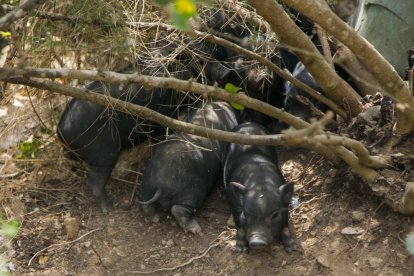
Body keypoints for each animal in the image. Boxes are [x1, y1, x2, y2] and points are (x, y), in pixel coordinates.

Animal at [138, 100, 238, 234]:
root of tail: (160, 186)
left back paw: (154, 218)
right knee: (178, 209)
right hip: (192, 192)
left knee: (146, 204)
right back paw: (196, 229)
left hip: (146, 185)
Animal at [222, 122, 296, 252]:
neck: (260, 183)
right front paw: (241, 250)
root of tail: (247, 123)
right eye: (245, 214)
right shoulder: (232, 202)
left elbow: (285, 225)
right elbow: (239, 225)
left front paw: (293, 249)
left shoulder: (285, 207)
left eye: (275, 215)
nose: (257, 241)